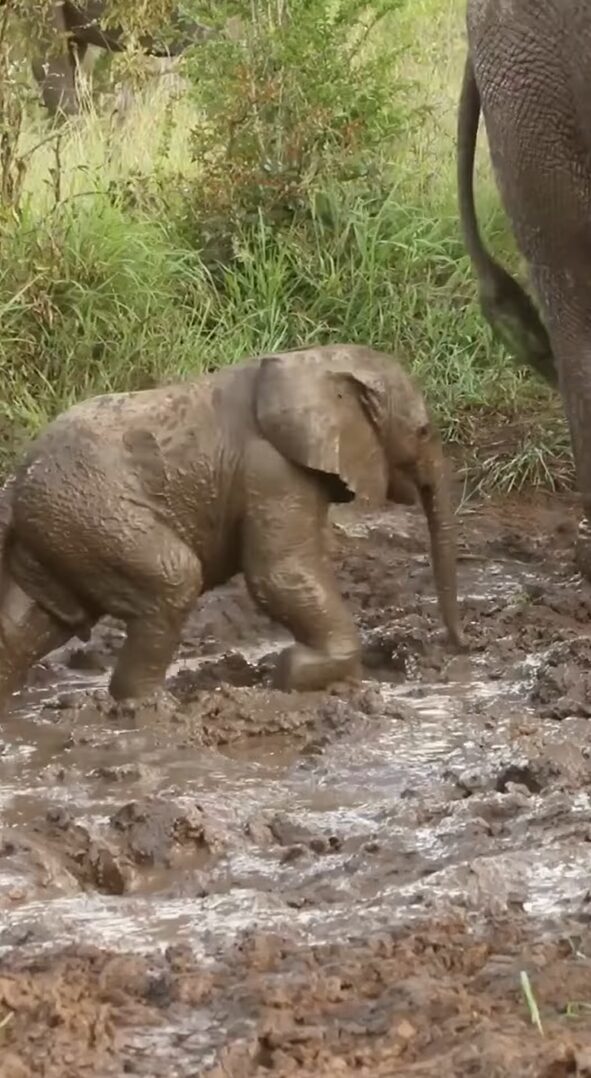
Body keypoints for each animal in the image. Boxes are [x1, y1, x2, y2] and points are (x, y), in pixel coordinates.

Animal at [0, 340, 463, 702]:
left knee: (32, 622)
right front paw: (299, 673)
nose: (458, 646)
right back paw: (153, 711)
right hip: (91, 512)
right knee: (173, 581)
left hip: (60, 528)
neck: (314, 360)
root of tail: (18, 478)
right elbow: (278, 574)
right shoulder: (271, 468)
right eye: (423, 431)